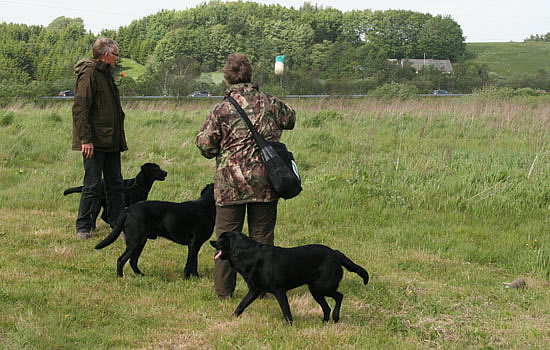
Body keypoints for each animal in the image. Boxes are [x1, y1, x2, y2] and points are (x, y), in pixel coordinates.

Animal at [211, 231, 370, 324]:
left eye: (221, 239)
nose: (211, 242)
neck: (248, 254)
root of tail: (336, 253)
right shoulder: (255, 290)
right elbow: (242, 304)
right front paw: (232, 317)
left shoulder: (279, 290)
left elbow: (286, 309)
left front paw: (290, 325)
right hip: (315, 290)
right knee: (327, 307)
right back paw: (325, 322)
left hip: (322, 286)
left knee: (339, 296)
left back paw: (336, 318)